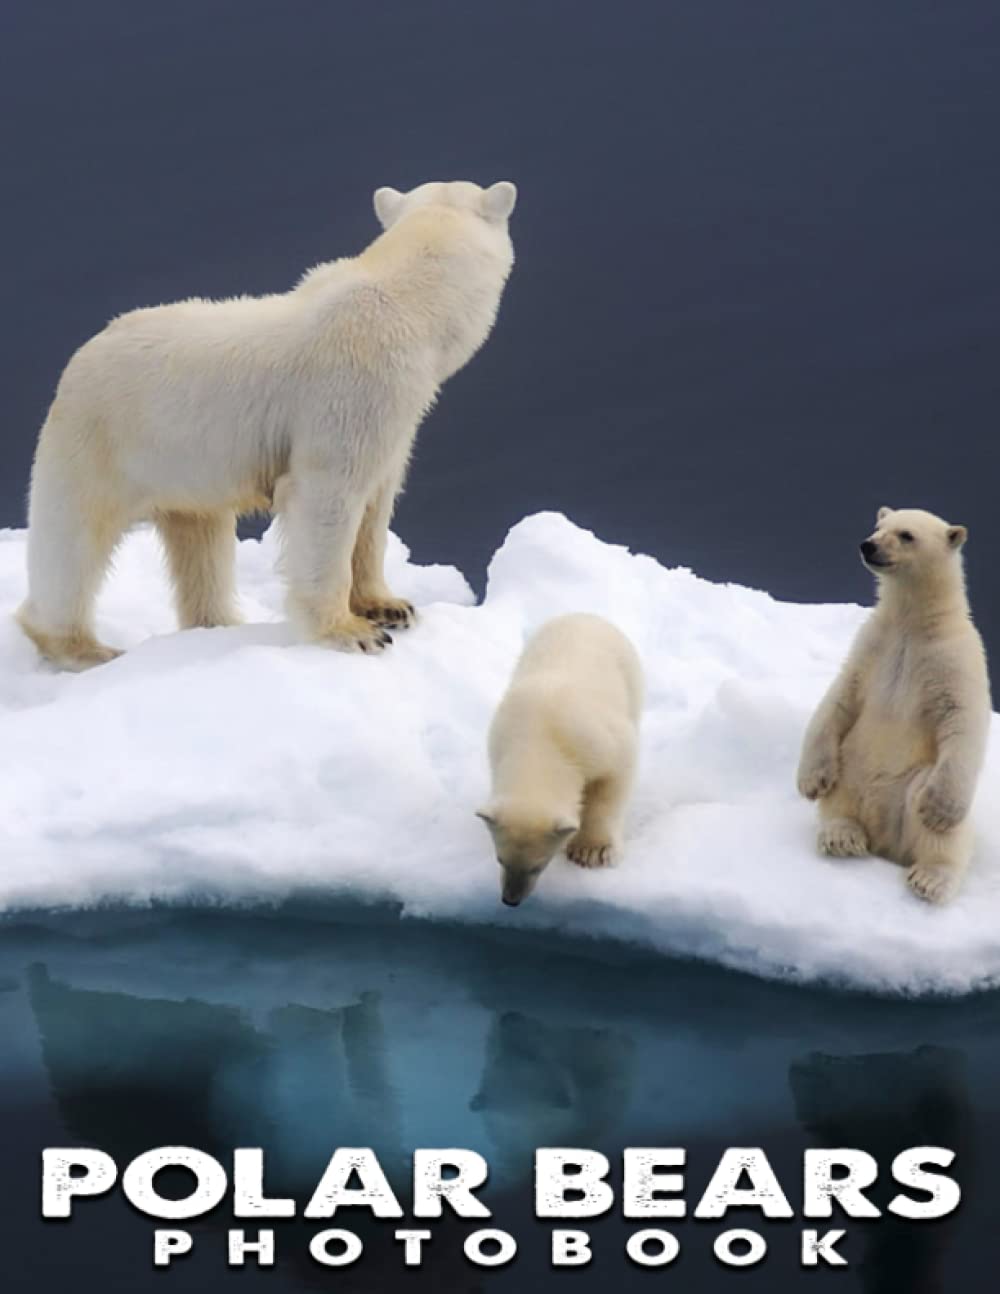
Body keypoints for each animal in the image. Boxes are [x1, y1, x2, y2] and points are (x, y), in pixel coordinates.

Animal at [16, 179, 517, 669]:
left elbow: (376, 502)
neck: (409, 307)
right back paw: (82, 647)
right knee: (73, 540)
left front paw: (390, 606)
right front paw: (352, 632)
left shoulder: (395, 413)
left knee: (201, 540)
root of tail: (80, 356)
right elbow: (327, 496)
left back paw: (218, 623)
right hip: (102, 438)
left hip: (185, 466)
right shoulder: (350, 388)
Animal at [477, 613, 644, 907]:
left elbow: (616, 776)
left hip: (629, 674)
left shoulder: (596, 739)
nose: (510, 900)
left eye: (539, 865)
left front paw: (592, 851)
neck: (539, 738)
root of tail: (585, 615)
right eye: (500, 859)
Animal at [797, 507, 991, 904]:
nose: (868, 545)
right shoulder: (872, 645)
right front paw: (811, 779)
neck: (912, 625)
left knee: (929, 815)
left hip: (911, 785)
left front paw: (942, 810)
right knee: (841, 787)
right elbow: (839, 698)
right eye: (878, 526)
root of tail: (885, 843)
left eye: (906, 535)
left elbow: (963, 718)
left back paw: (931, 876)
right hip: (854, 766)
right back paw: (842, 835)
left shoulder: (954, 658)